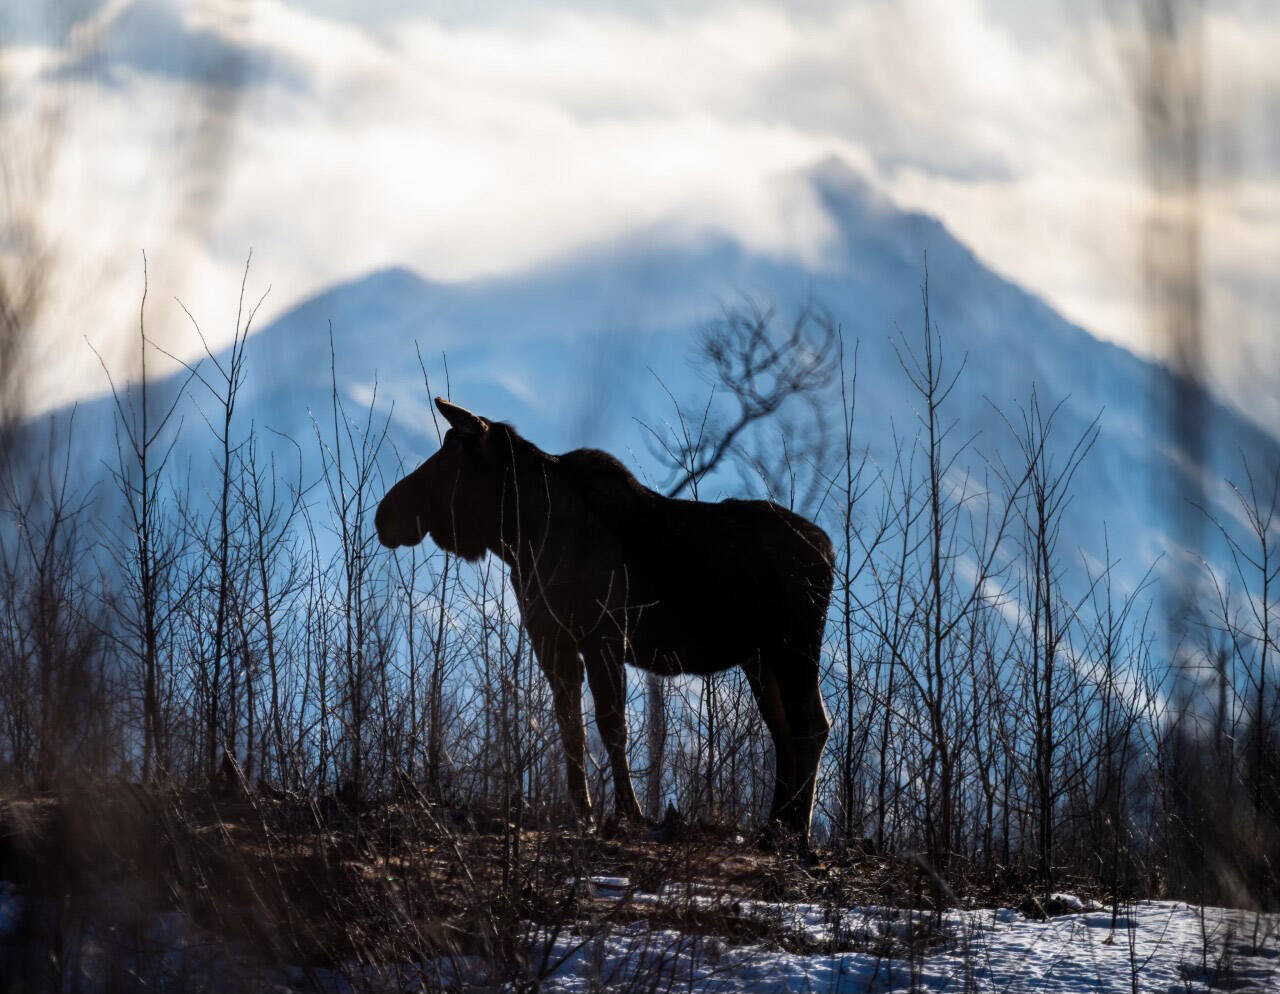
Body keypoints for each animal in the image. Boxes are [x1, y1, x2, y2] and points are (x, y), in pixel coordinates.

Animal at [373, 399, 834, 839]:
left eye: (447, 460)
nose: (384, 514)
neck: (522, 534)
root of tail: (829, 552)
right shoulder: (551, 637)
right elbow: (570, 724)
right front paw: (584, 811)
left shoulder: (603, 635)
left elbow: (611, 726)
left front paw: (628, 812)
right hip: (760, 657)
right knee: (784, 732)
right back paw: (776, 824)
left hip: (794, 645)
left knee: (811, 723)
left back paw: (797, 831)